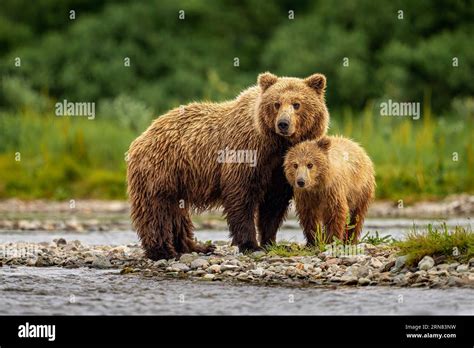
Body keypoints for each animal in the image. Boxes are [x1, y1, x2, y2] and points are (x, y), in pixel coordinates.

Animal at [126, 72, 330, 260]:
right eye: (276, 103)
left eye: (297, 104)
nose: (283, 123)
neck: (277, 145)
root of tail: (143, 135)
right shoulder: (246, 153)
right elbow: (241, 197)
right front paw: (250, 245)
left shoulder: (280, 170)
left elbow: (274, 204)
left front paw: (270, 241)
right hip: (161, 170)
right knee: (156, 210)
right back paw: (163, 251)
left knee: (177, 213)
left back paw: (195, 246)